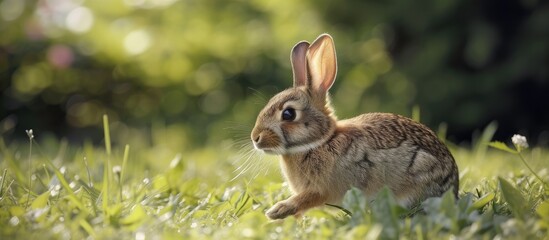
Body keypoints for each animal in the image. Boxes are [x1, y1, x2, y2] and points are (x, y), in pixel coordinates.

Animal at [250, 33, 456, 219]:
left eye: (288, 114)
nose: (255, 138)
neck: (320, 142)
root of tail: (453, 186)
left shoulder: (322, 189)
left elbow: (307, 198)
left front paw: (277, 210)